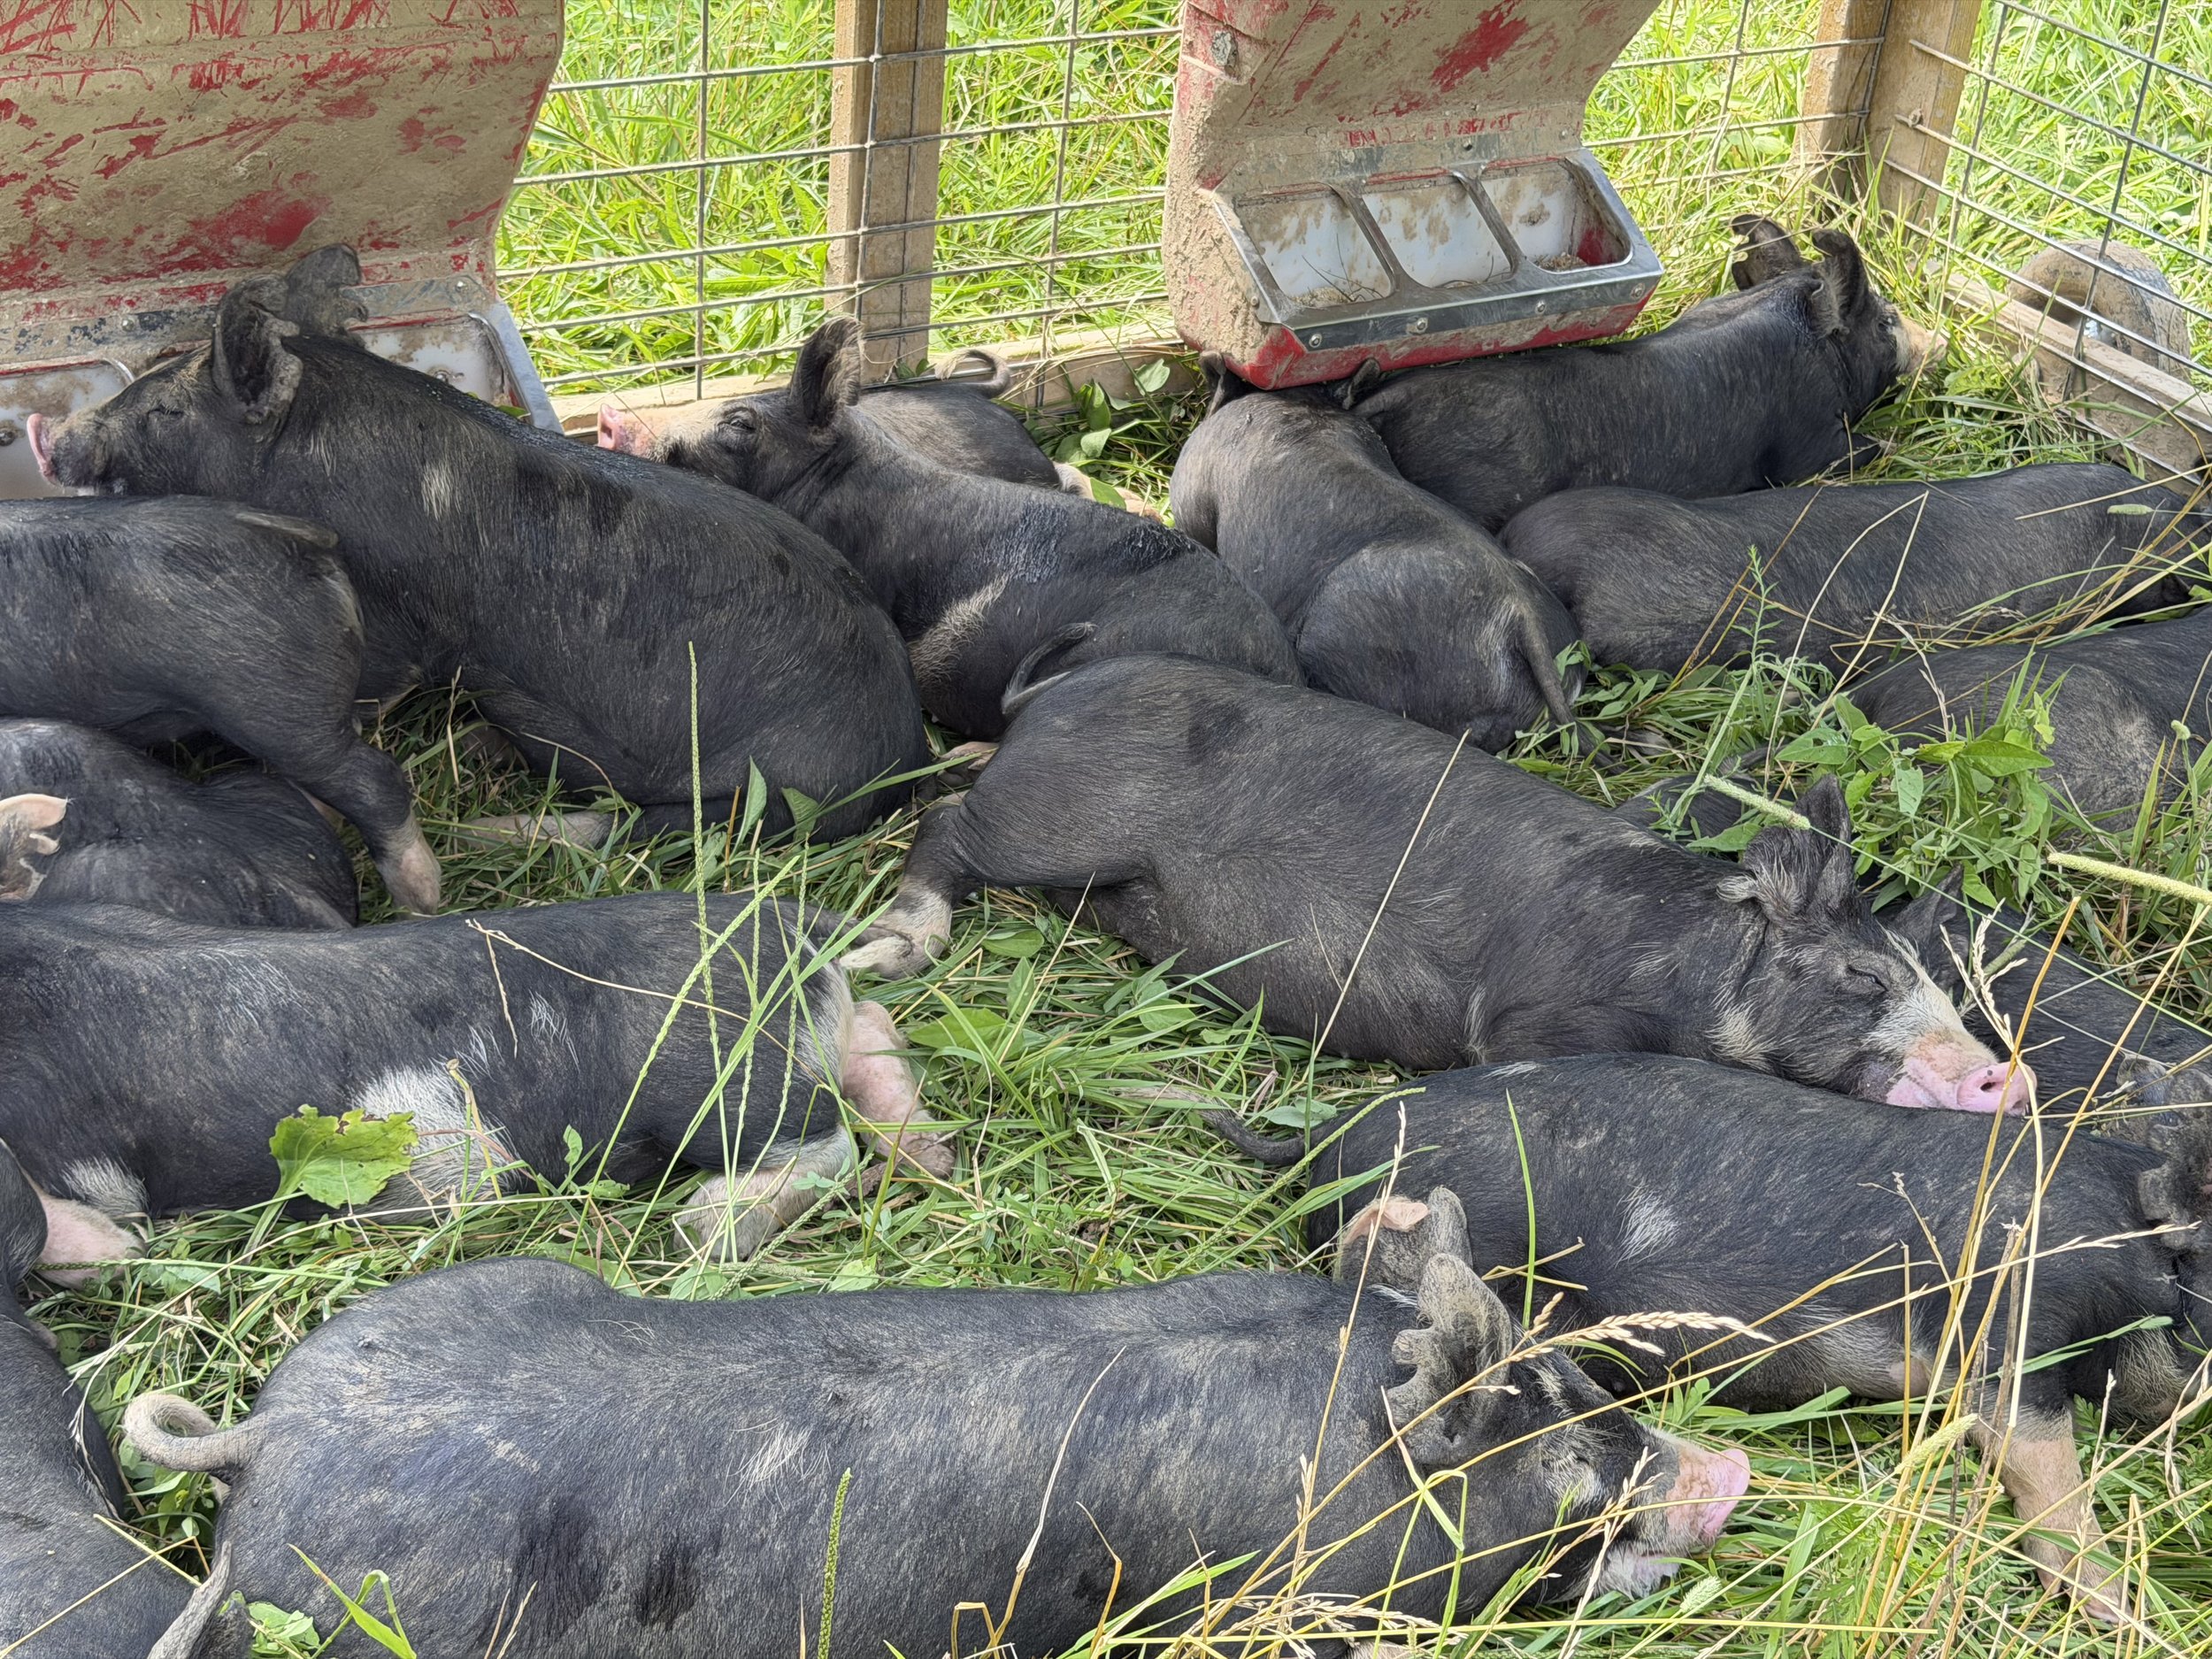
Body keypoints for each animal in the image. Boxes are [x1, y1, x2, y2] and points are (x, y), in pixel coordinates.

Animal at [1, 892, 954, 1276]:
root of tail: (796, 930)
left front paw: (111, 1255)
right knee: (872, 1033)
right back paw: (932, 1154)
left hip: (714, 1075)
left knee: (824, 1141)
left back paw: (703, 1225)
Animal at [30, 248, 927, 845]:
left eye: (166, 412)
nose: (50, 433)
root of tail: (901, 756)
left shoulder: (390, 630)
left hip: (759, 789)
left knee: (647, 827)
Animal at [844, 653, 2031, 1110]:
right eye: (1862, 979)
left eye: (1931, 977)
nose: (2003, 1077)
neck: (1689, 971)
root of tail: (1058, 688)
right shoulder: (1533, 1016)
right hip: (1054, 820)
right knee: (944, 824)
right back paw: (888, 950)